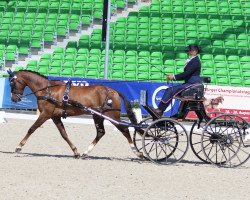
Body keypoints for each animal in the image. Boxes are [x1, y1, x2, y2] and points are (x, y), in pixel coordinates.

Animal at [7, 70, 143, 159]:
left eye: (12, 82)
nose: (14, 99)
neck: (47, 90)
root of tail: (113, 91)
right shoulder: (55, 117)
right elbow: (64, 134)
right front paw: (75, 151)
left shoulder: (45, 114)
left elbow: (32, 128)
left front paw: (19, 147)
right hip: (98, 116)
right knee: (101, 132)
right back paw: (85, 153)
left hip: (112, 115)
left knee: (124, 129)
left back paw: (138, 152)